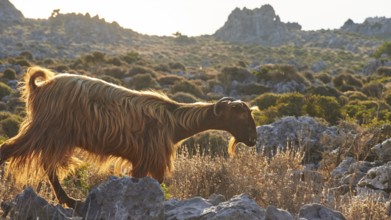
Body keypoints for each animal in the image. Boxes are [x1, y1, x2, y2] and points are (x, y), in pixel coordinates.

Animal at [0, 66, 258, 209]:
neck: (174, 121)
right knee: (14, 152)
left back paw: (70, 200)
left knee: (46, 165)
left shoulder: (141, 160)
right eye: (241, 115)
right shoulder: (151, 157)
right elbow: (156, 183)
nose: (254, 139)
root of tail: (39, 87)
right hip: (47, 131)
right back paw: (69, 200)